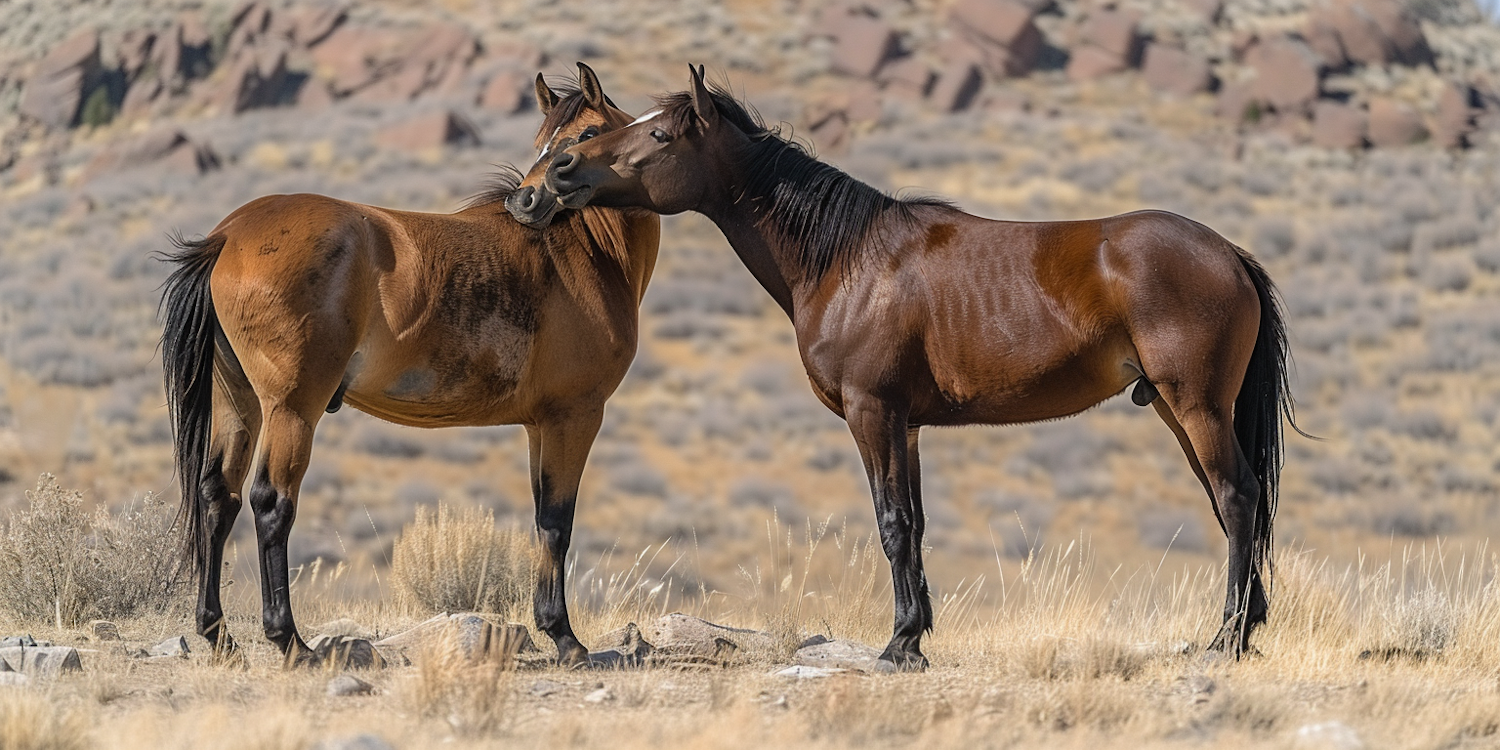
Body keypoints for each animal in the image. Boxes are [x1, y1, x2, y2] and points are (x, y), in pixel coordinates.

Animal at [161, 61, 660, 666]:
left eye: (586, 134)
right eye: (544, 141)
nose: (528, 202)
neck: (582, 251)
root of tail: (229, 235)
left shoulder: (540, 425)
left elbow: (543, 517)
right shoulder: (574, 416)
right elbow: (557, 523)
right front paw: (564, 637)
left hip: (238, 405)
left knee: (219, 497)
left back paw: (218, 635)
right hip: (291, 410)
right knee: (270, 503)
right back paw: (291, 641)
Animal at [510, 67, 1296, 672]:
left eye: (659, 136)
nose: (558, 178)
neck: (846, 258)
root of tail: (1229, 254)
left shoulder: (873, 411)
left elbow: (890, 523)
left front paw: (897, 646)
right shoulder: (908, 426)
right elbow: (913, 525)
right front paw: (916, 637)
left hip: (1194, 405)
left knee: (1235, 499)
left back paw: (1226, 639)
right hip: (1177, 408)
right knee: (1237, 502)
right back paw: (1242, 629)